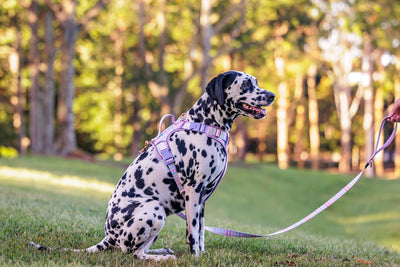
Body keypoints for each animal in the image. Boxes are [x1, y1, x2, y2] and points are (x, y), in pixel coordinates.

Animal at [30, 70, 276, 262]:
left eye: (256, 81)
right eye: (246, 84)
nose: (272, 95)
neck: (206, 123)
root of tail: (108, 236)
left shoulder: (202, 198)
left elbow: (201, 232)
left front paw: (202, 254)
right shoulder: (193, 191)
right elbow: (193, 233)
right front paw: (195, 258)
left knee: (139, 250)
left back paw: (161, 251)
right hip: (154, 210)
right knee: (133, 254)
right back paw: (163, 257)